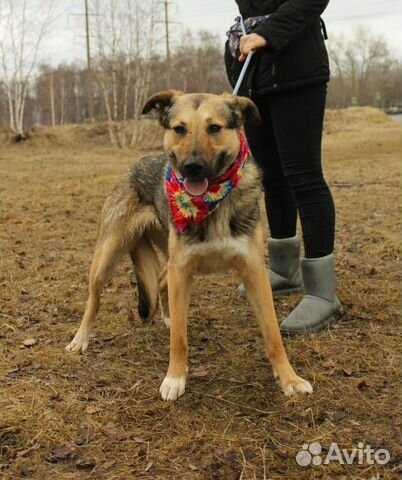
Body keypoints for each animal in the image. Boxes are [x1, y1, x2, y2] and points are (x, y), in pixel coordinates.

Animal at [66, 91, 312, 402]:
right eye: (179, 129)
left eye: (214, 128)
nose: (192, 167)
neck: (211, 201)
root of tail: (135, 165)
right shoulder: (182, 269)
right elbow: (179, 341)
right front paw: (174, 378)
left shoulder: (253, 272)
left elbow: (273, 335)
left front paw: (289, 378)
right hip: (107, 257)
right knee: (94, 300)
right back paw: (80, 339)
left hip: (165, 257)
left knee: (160, 281)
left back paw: (168, 317)